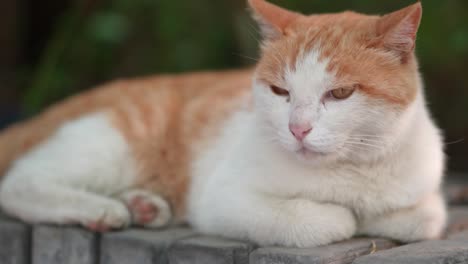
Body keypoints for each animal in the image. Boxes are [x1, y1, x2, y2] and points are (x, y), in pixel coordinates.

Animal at [0, 0, 446, 248]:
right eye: (280, 92)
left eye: (339, 94)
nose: (297, 129)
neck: (350, 172)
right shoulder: (222, 199)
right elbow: (327, 220)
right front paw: (345, 216)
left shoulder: (423, 193)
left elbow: (424, 217)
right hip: (112, 141)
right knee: (20, 182)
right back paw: (101, 209)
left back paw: (144, 206)